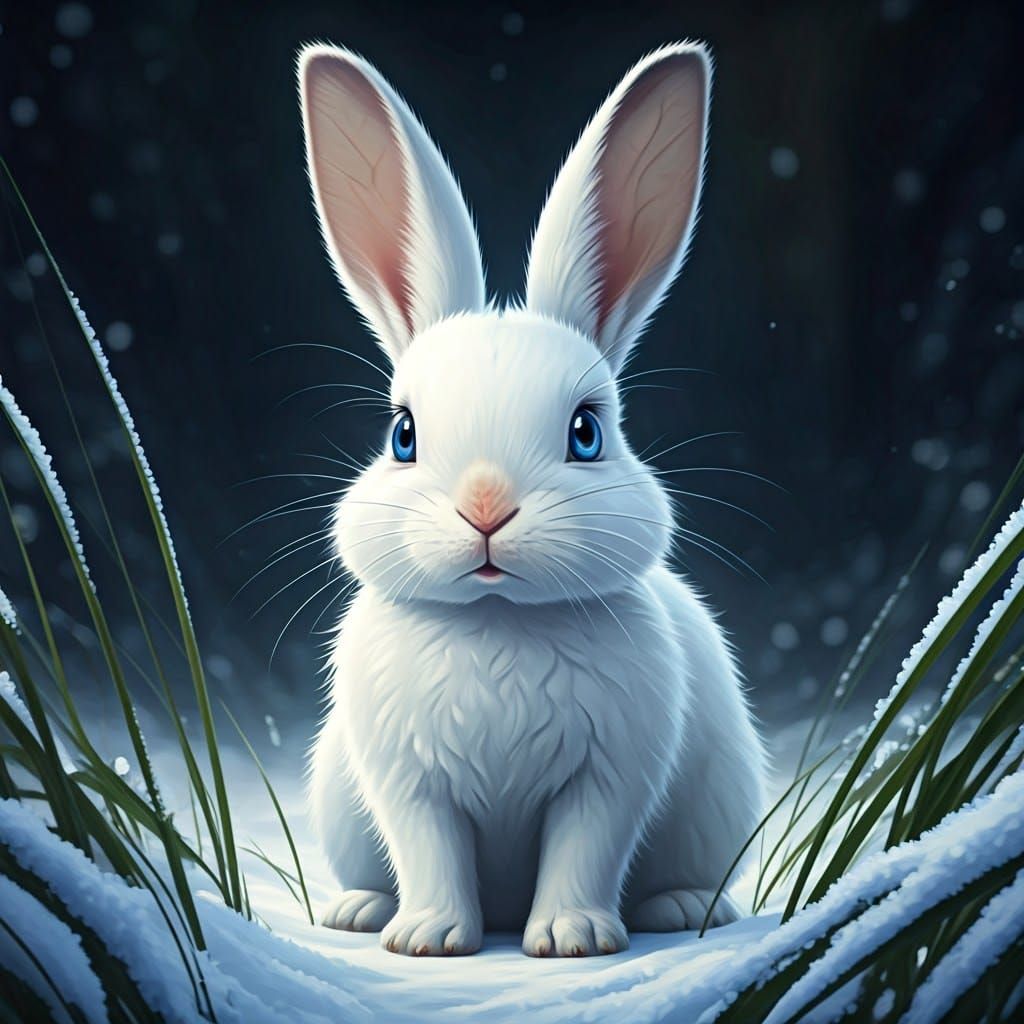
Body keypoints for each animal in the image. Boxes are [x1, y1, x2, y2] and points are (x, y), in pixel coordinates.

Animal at [300, 39, 766, 958]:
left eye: (587, 432)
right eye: (402, 434)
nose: (486, 508)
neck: (497, 623)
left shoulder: (609, 779)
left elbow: (584, 851)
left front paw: (572, 939)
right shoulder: (408, 782)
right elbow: (430, 851)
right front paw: (429, 939)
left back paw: (683, 909)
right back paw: (359, 912)